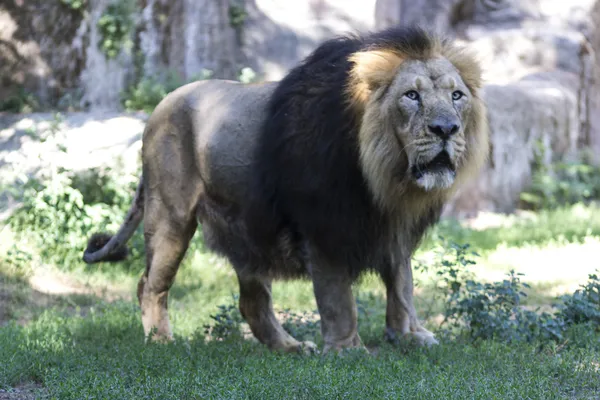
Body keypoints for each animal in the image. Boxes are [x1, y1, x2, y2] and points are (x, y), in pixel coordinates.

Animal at [83, 26, 488, 354]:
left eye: (456, 96)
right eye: (411, 96)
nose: (446, 129)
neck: (387, 179)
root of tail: (160, 105)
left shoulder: (394, 227)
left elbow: (402, 284)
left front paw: (409, 336)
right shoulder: (323, 225)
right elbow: (338, 298)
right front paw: (348, 349)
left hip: (245, 231)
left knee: (252, 302)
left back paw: (289, 347)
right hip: (171, 215)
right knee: (149, 284)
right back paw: (161, 340)